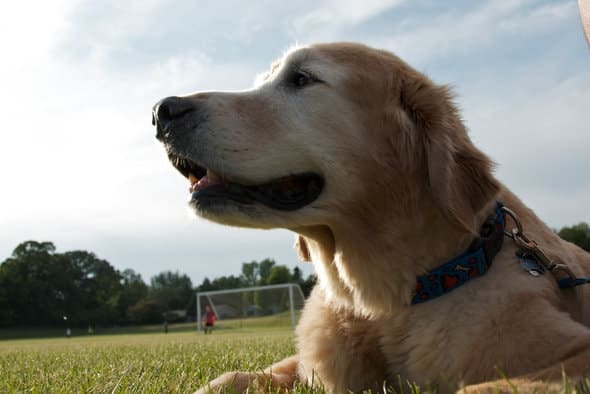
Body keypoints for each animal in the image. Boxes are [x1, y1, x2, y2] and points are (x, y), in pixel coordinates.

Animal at [154, 41, 590, 392]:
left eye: (301, 79)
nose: (161, 111)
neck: (379, 306)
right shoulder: (307, 366)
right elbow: (235, 377)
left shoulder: (573, 353)